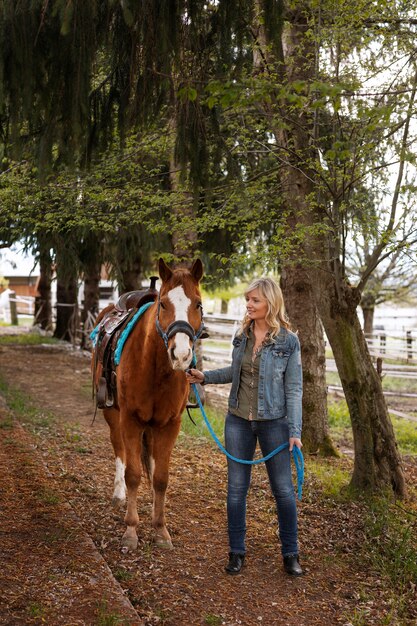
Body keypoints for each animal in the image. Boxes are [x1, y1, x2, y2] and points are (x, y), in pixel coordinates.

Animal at [94, 256, 205, 548]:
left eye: (198, 304)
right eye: (163, 304)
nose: (181, 355)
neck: (156, 368)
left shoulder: (170, 424)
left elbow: (161, 478)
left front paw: (160, 529)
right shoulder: (130, 419)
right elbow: (133, 474)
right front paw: (131, 530)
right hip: (113, 415)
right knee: (120, 450)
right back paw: (119, 495)